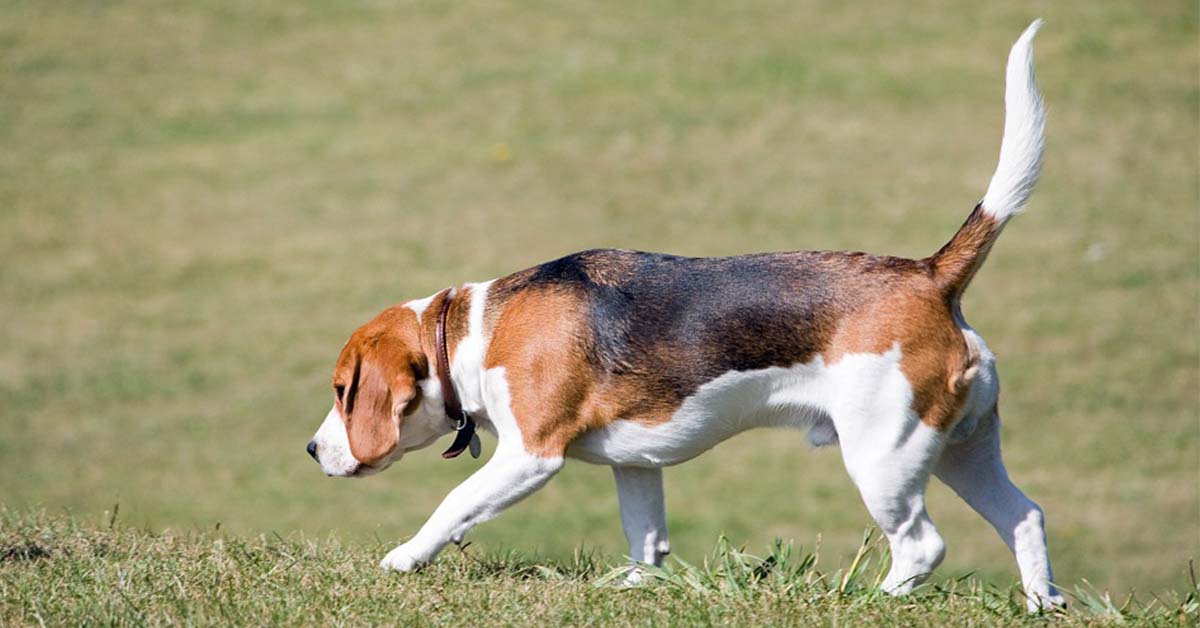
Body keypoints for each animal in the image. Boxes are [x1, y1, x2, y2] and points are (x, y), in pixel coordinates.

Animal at [304, 22, 1065, 612]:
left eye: (343, 391)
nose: (312, 450)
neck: (474, 328)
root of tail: (929, 275)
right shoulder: (635, 463)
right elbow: (647, 536)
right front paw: (637, 586)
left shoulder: (531, 455)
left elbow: (454, 504)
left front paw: (405, 557)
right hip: (962, 445)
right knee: (1024, 516)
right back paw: (1042, 603)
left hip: (884, 454)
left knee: (922, 545)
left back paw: (875, 601)